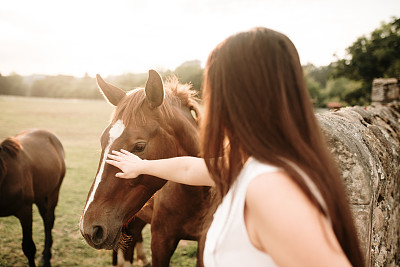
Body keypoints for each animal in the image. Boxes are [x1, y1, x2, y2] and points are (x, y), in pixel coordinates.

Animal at [0, 130, 65, 267]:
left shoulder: (25, 210)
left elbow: (28, 247)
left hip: (54, 192)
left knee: (49, 220)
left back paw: (46, 258)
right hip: (40, 196)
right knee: (46, 218)